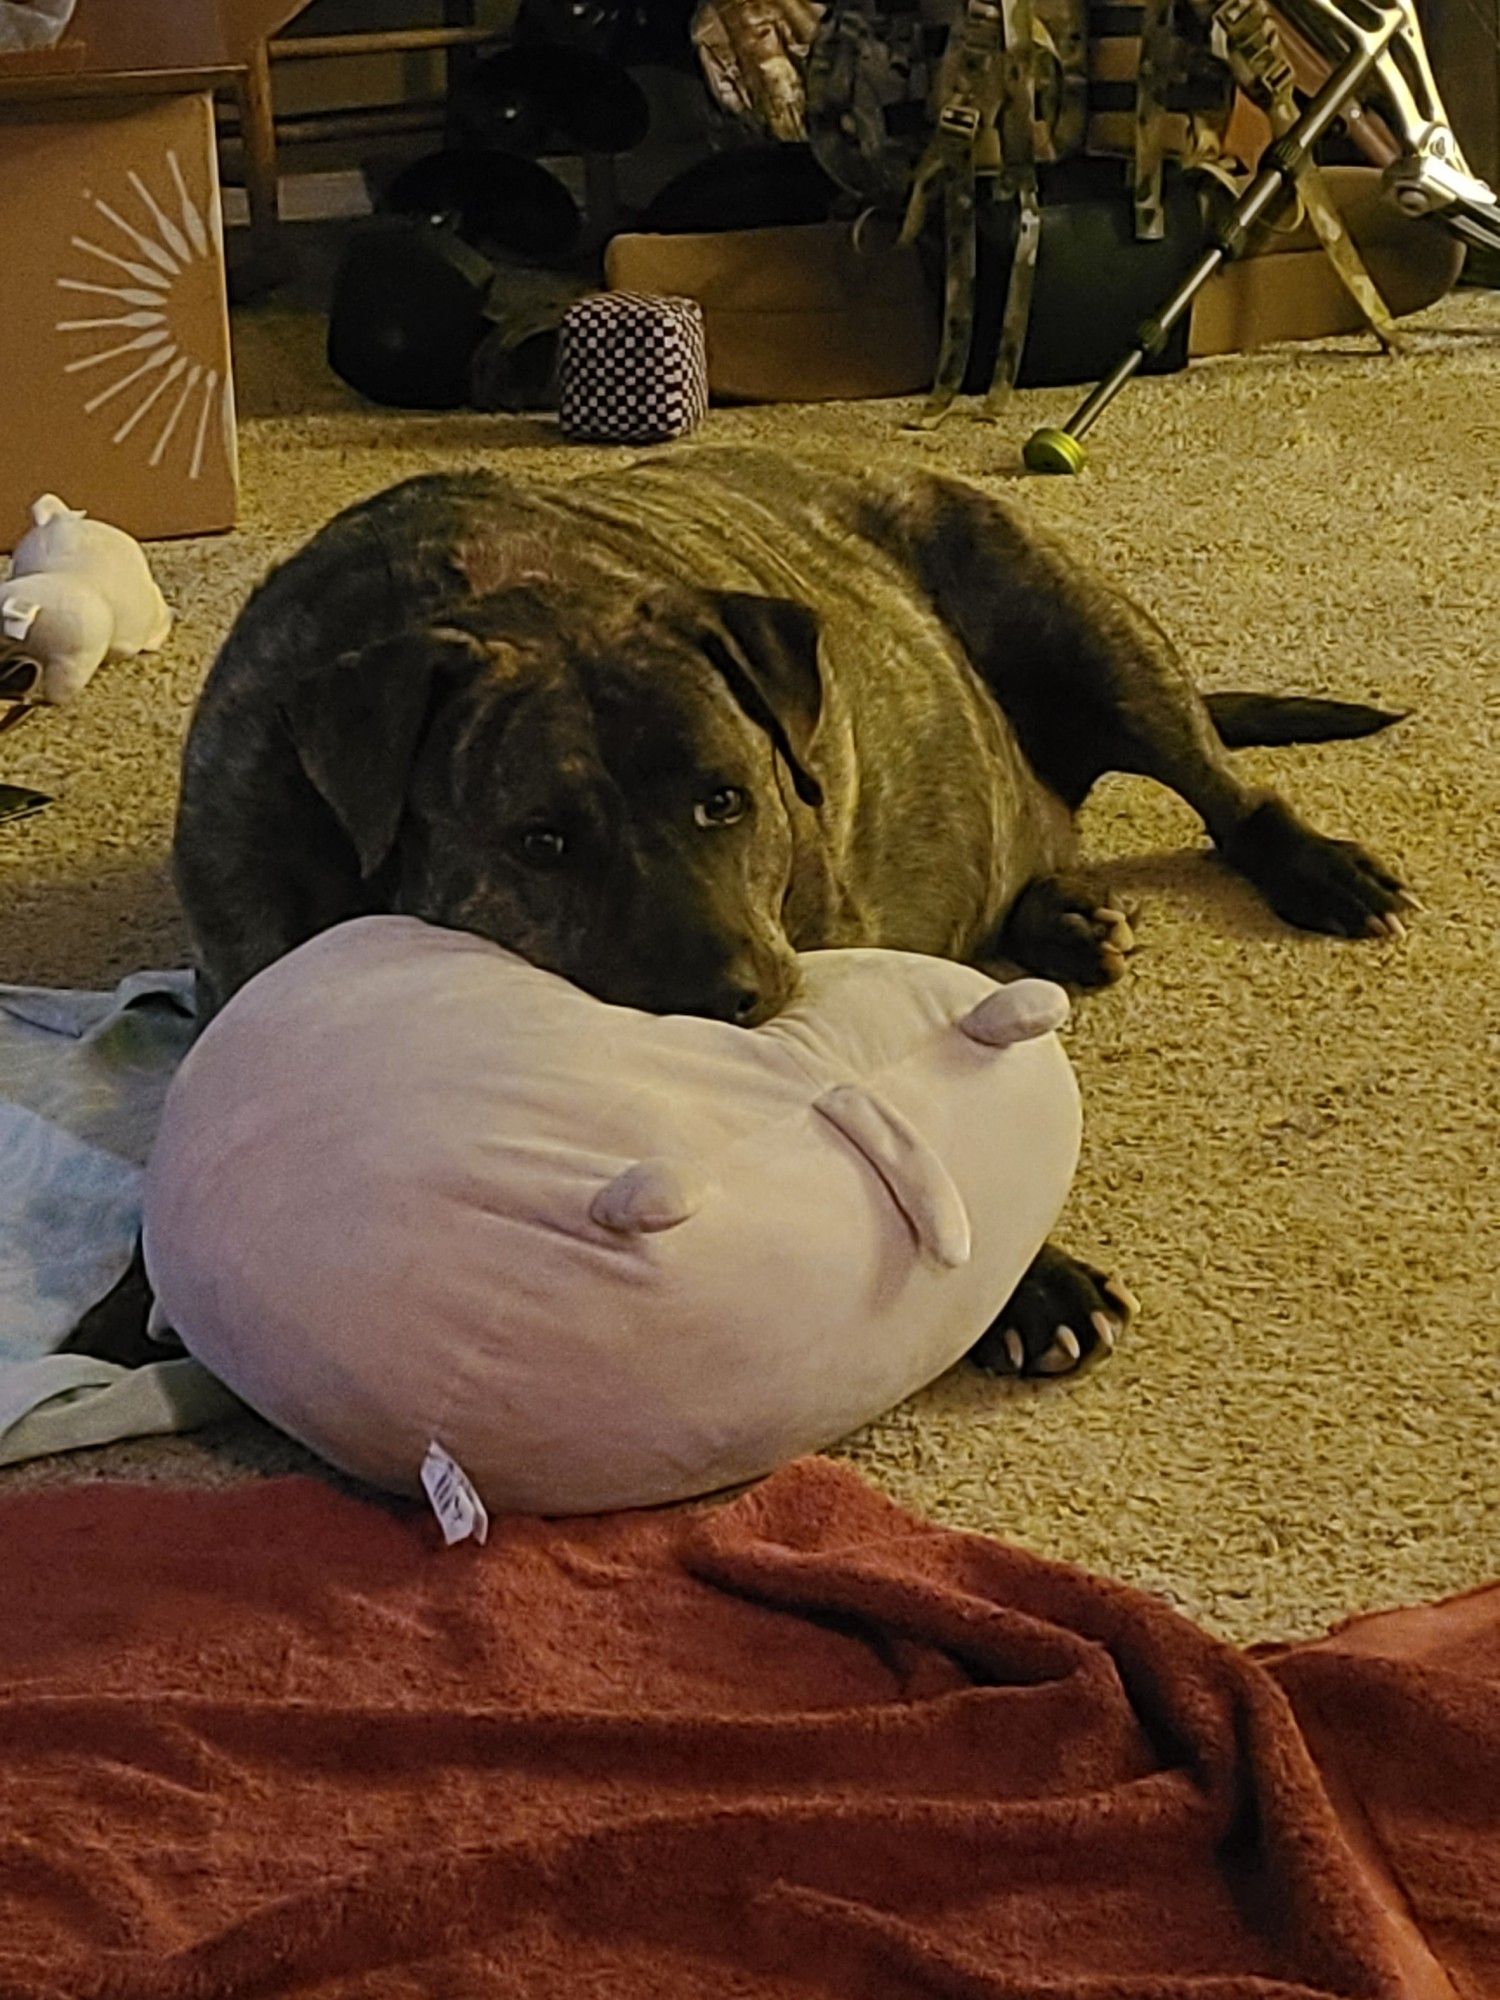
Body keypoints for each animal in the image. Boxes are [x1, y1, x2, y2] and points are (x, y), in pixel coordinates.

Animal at [114, 444, 1424, 1376]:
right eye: (542, 841)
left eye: (725, 798)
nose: (726, 998)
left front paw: (1033, 1279)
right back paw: (1065, 917)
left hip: (1082, 626)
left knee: (1225, 790)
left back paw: (1317, 870)